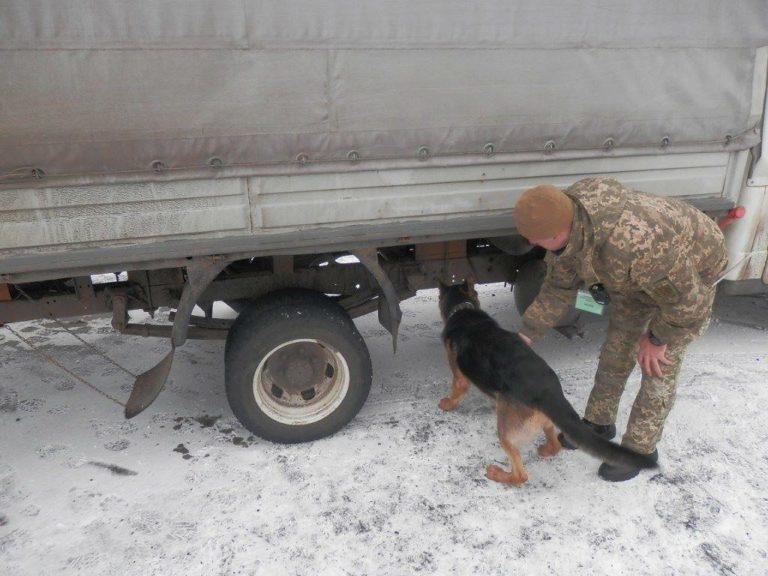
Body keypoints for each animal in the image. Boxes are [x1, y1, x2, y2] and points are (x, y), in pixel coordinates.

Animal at [436, 284, 656, 486]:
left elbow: (457, 390)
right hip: (546, 421)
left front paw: (447, 404)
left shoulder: (458, 374)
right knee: (556, 444)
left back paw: (499, 474)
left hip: (506, 435)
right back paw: (546, 449)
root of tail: (549, 392)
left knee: (521, 475)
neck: (463, 309)